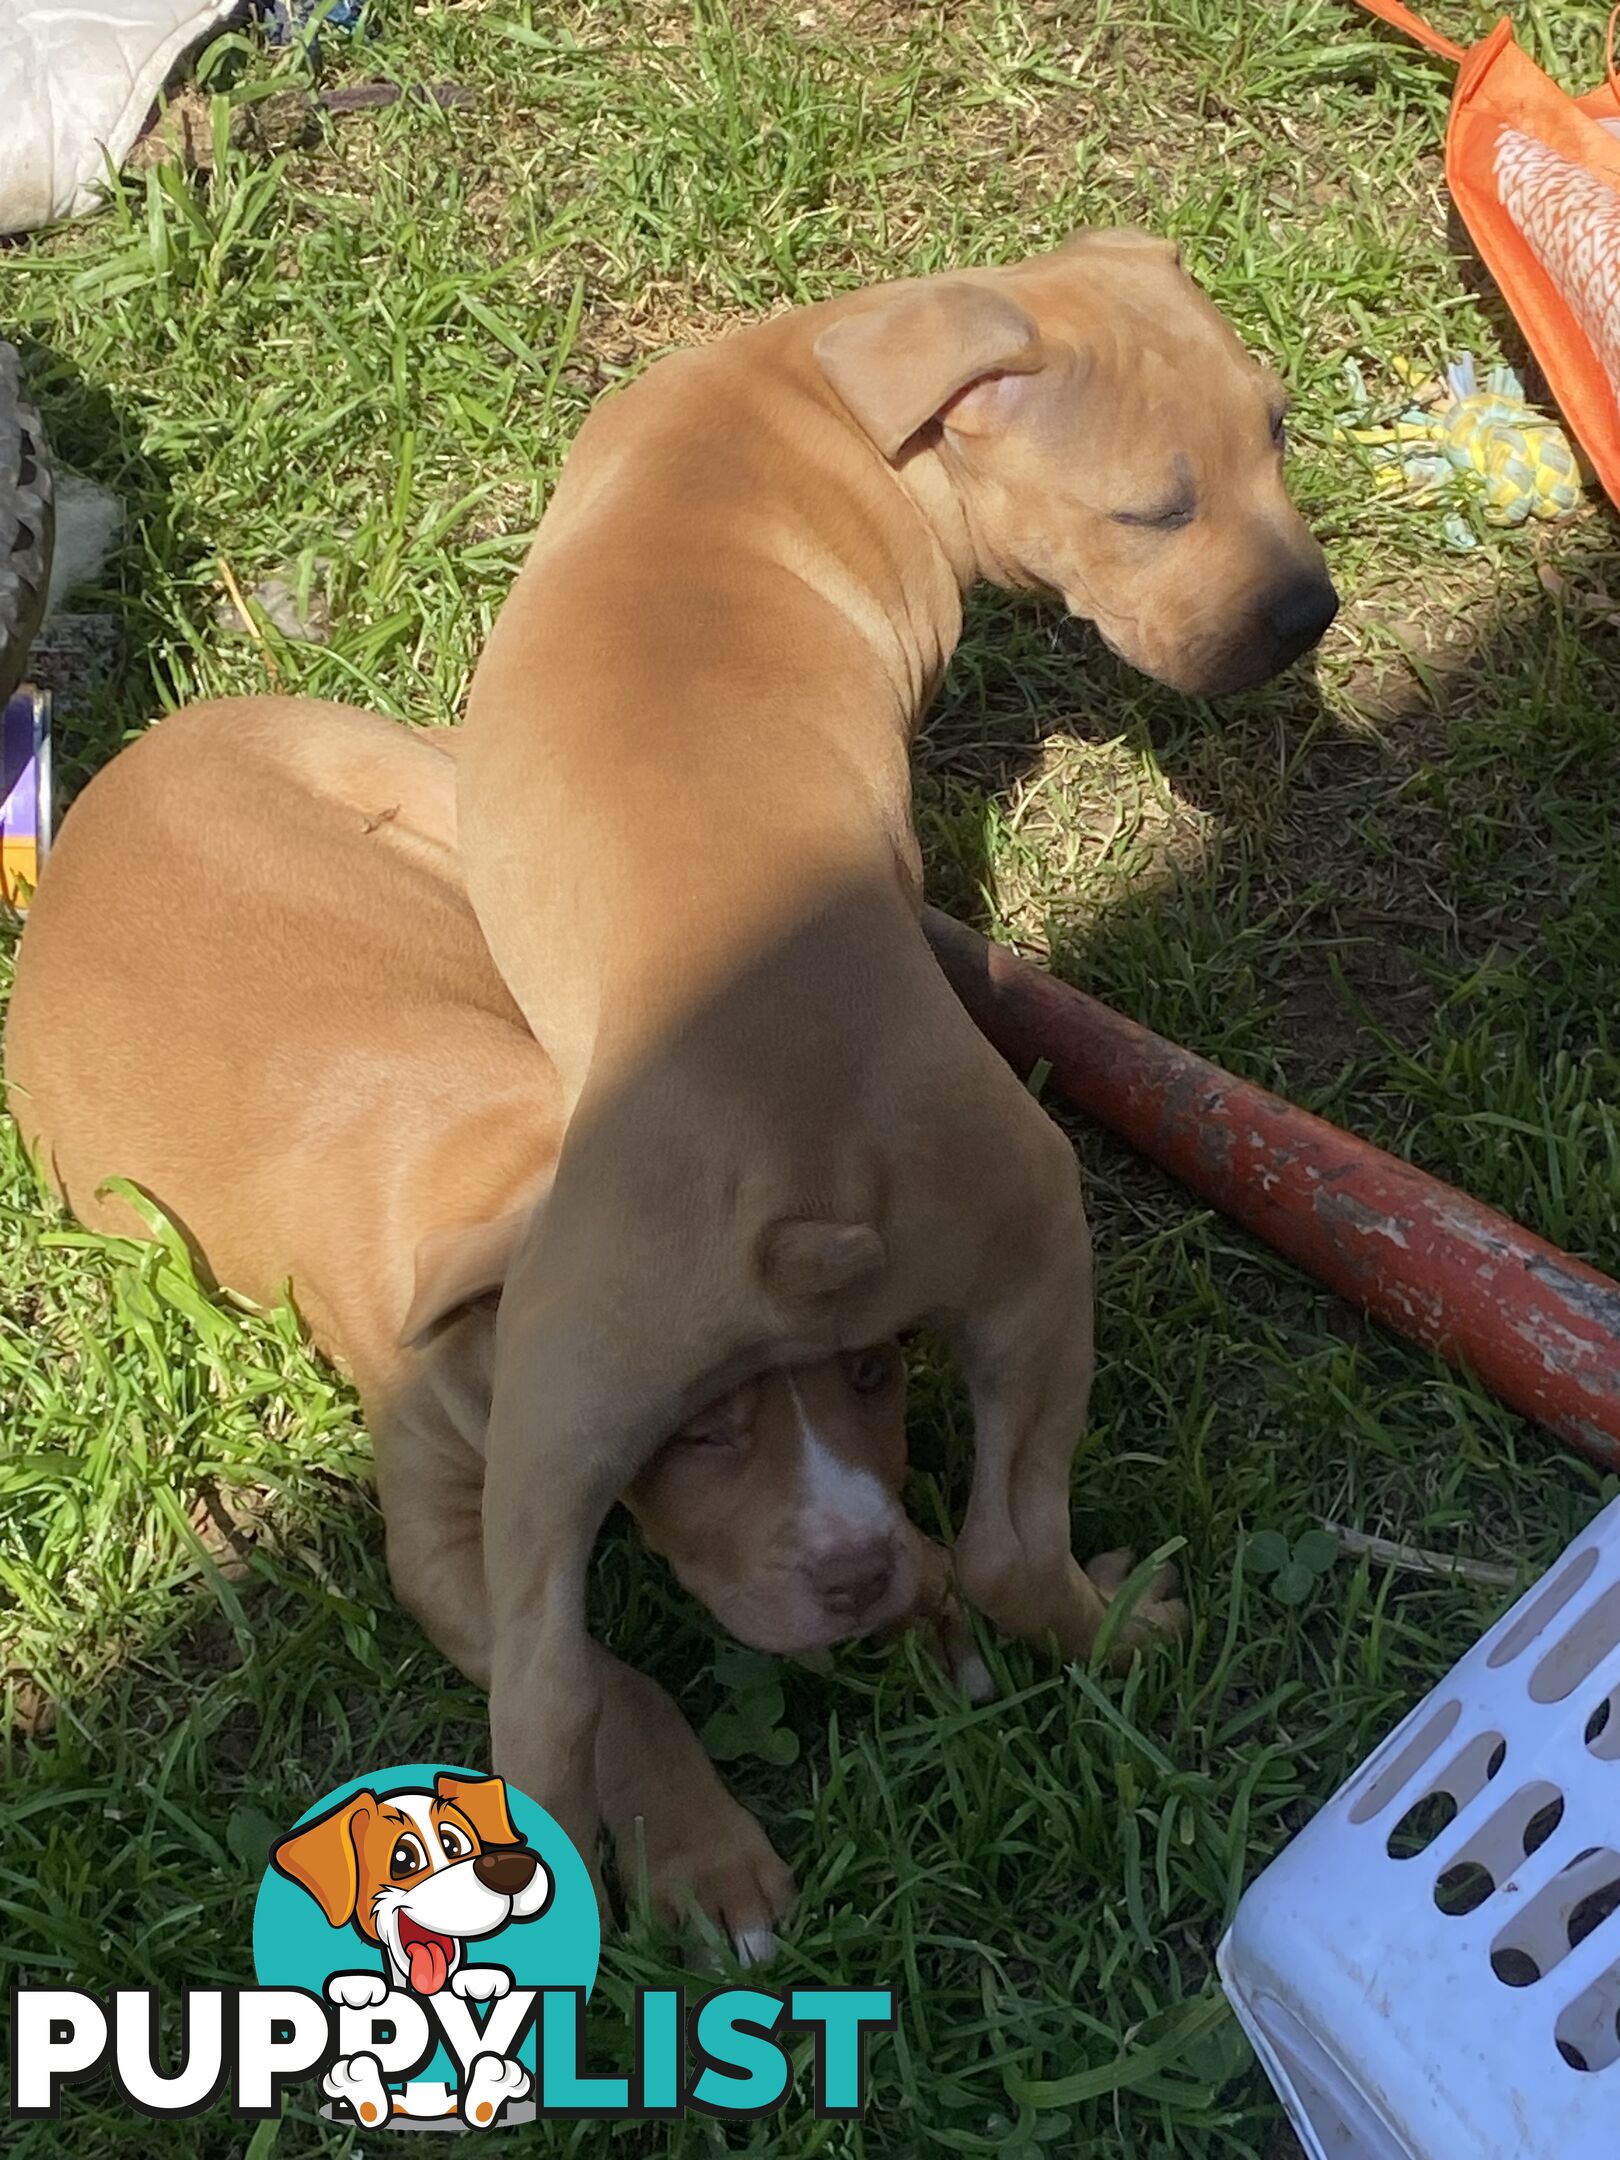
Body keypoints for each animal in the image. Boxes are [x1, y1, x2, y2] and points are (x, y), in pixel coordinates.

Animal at [6, 695, 972, 1961]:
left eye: (872, 1371)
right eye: (698, 1432)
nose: (863, 1573)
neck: (504, 1153)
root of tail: (148, 745)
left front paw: (954, 1597)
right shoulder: (440, 1545)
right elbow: (609, 1685)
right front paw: (707, 1860)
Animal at [453, 236, 1321, 1857]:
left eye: (1282, 430)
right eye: (1154, 512)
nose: (1314, 613)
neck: (833, 380)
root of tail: (795, 1186)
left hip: (552, 1417)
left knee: (544, 1696)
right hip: (1039, 1250)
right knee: (1006, 1556)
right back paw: (1129, 1625)